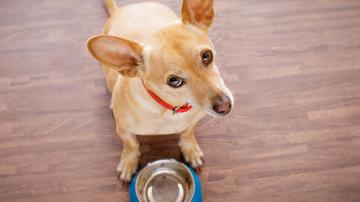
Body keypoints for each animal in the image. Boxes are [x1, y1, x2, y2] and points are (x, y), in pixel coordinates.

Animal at [87, 0, 233, 181]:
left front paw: (190, 149)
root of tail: (125, 8)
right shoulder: (124, 131)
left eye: (207, 56)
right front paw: (129, 162)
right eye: (174, 81)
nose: (225, 106)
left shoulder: (192, 122)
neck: (172, 108)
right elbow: (131, 145)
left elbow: (187, 133)